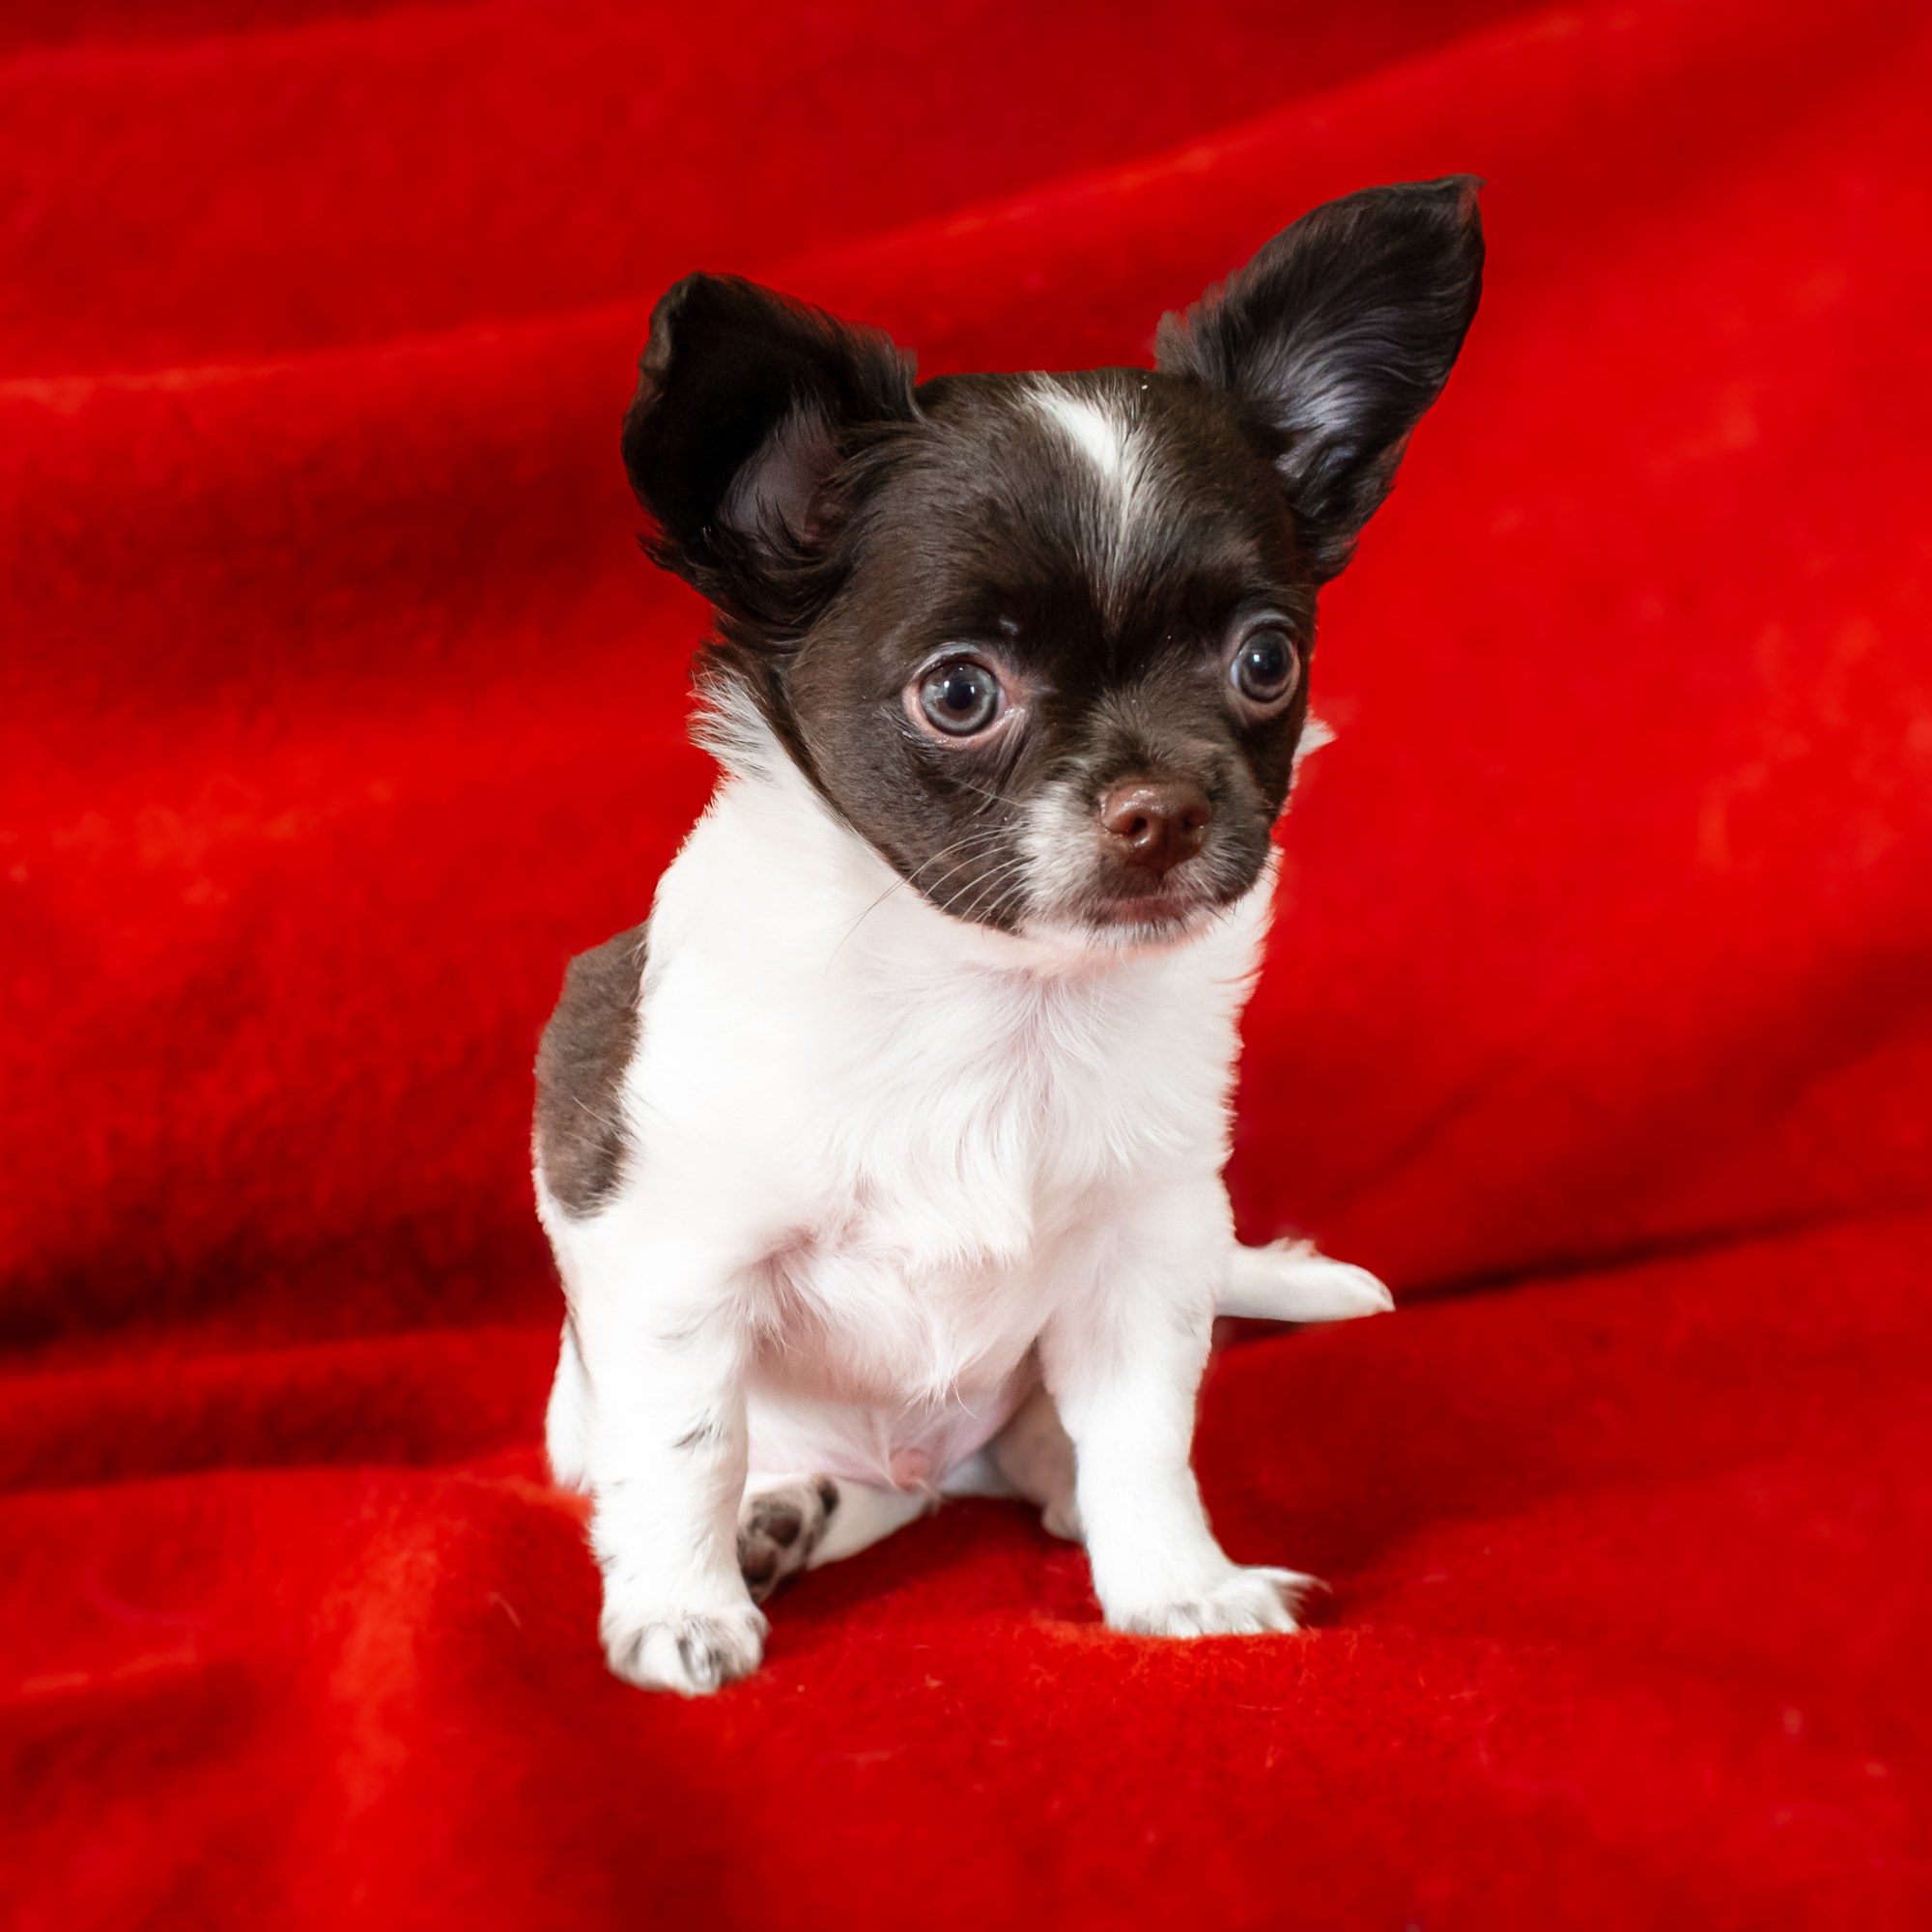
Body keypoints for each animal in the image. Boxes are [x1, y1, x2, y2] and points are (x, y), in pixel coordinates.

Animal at [535, 178, 1483, 1693]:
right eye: (961, 692)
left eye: (1264, 660)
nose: (1165, 806)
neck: (998, 997)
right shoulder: (669, 1250)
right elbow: (685, 1446)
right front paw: (679, 1608)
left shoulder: (1145, 1256)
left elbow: (1146, 1438)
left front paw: (1175, 1587)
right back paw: (775, 1518)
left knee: (1023, 1463)